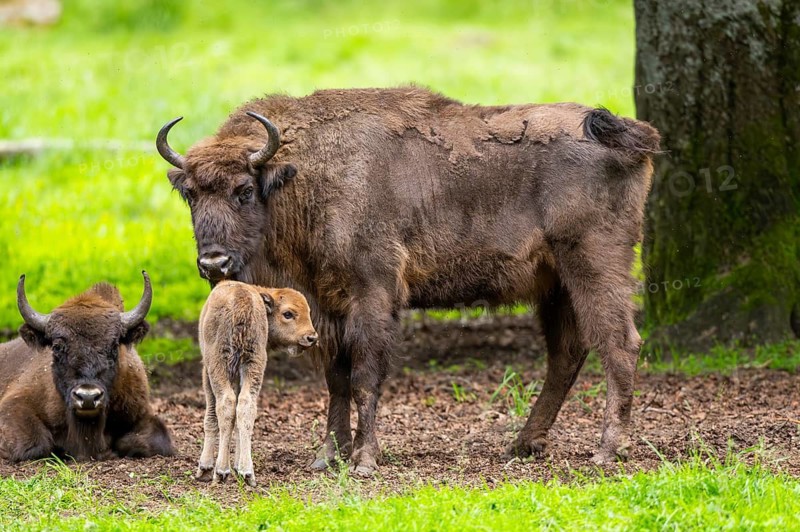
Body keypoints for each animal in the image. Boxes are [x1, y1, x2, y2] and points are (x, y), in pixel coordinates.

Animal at [0, 272, 174, 462]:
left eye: (114, 346)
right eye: (56, 347)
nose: (88, 397)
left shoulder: (141, 411)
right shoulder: (14, 404)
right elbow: (36, 444)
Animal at [156, 86, 660, 474]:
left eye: (243, 190)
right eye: (191, 194)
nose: (214, 263)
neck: (307, 176)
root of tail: (615, 128)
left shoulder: (372, 296)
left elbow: (365, 375)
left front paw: (364, 460)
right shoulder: (325, 307)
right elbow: (336, 379)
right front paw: (327, 457)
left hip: (594, 265)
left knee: (619, 343)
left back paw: (605, 451)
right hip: (556, 286)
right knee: (567, 354)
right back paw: (522, 445)